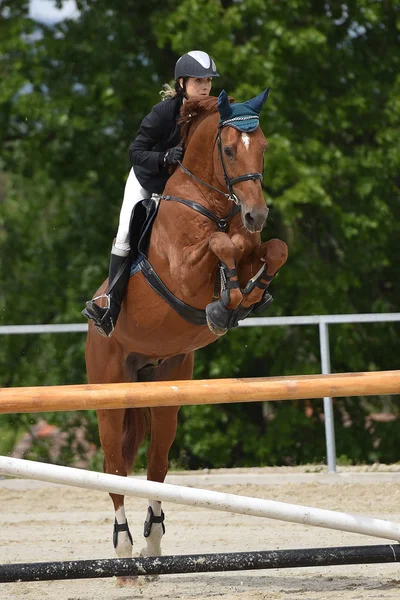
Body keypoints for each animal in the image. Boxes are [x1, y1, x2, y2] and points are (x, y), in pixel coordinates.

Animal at [85, 89, 288, 576]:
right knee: (114, 469)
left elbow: (272, 249)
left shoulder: (254, 245)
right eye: (229, 150)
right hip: (109, 392)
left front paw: (245, 296)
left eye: (264, 146)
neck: (210, 202)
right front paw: (225, 301)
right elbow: (221, 244)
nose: (256, 214)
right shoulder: (183, 270)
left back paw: (154, 540)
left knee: (157, 466)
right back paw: (123, 547)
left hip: (167, 386)